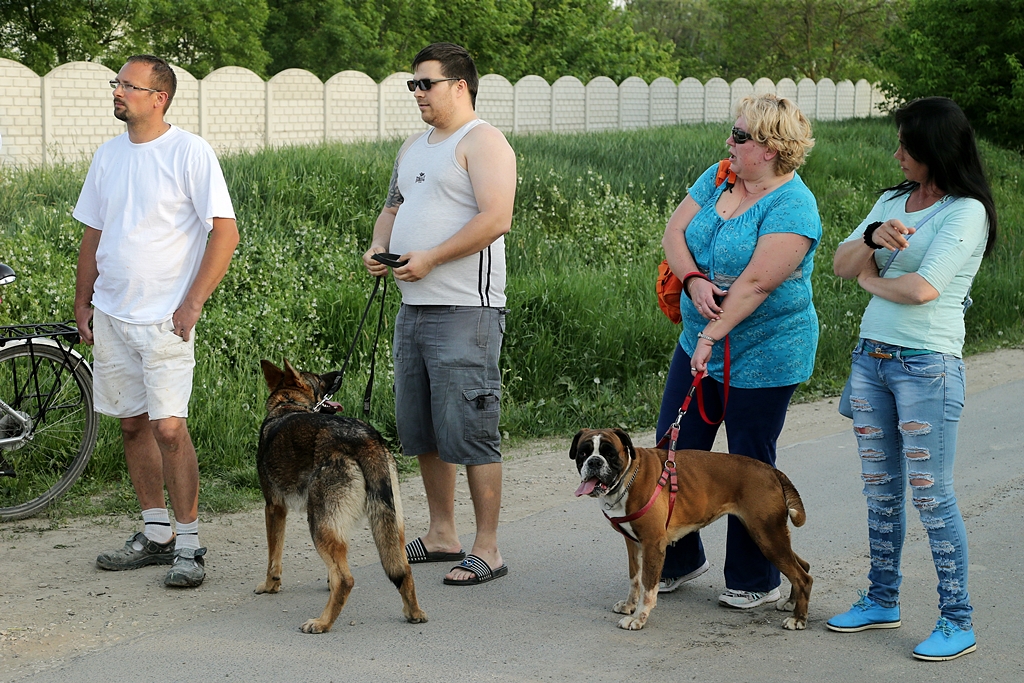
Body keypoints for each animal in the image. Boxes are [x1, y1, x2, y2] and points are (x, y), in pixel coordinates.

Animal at [258, 360, 430, 634]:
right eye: (320, 378)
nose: (337, 374)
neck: (288, 405)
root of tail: (366, 439)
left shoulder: (274, 508)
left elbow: (273, 558)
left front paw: (269, 586)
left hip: (318, 525)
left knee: (346, 579)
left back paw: (322, 623)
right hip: (390, 525)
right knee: (403, 570)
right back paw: (413, 612)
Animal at [573, 430, 811, 634]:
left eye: (609, 453)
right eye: (583, 453)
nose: (594, 462)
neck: (628, 478)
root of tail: (771, 470)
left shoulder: (652, 544)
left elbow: (648, 588)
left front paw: (639, 617)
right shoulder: (634, 545)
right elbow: (635, 579)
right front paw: (629, 605)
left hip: (767, 537)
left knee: (803, 577)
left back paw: (798, 619)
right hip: (768, 535)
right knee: (803, 566)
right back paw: (791, 603)